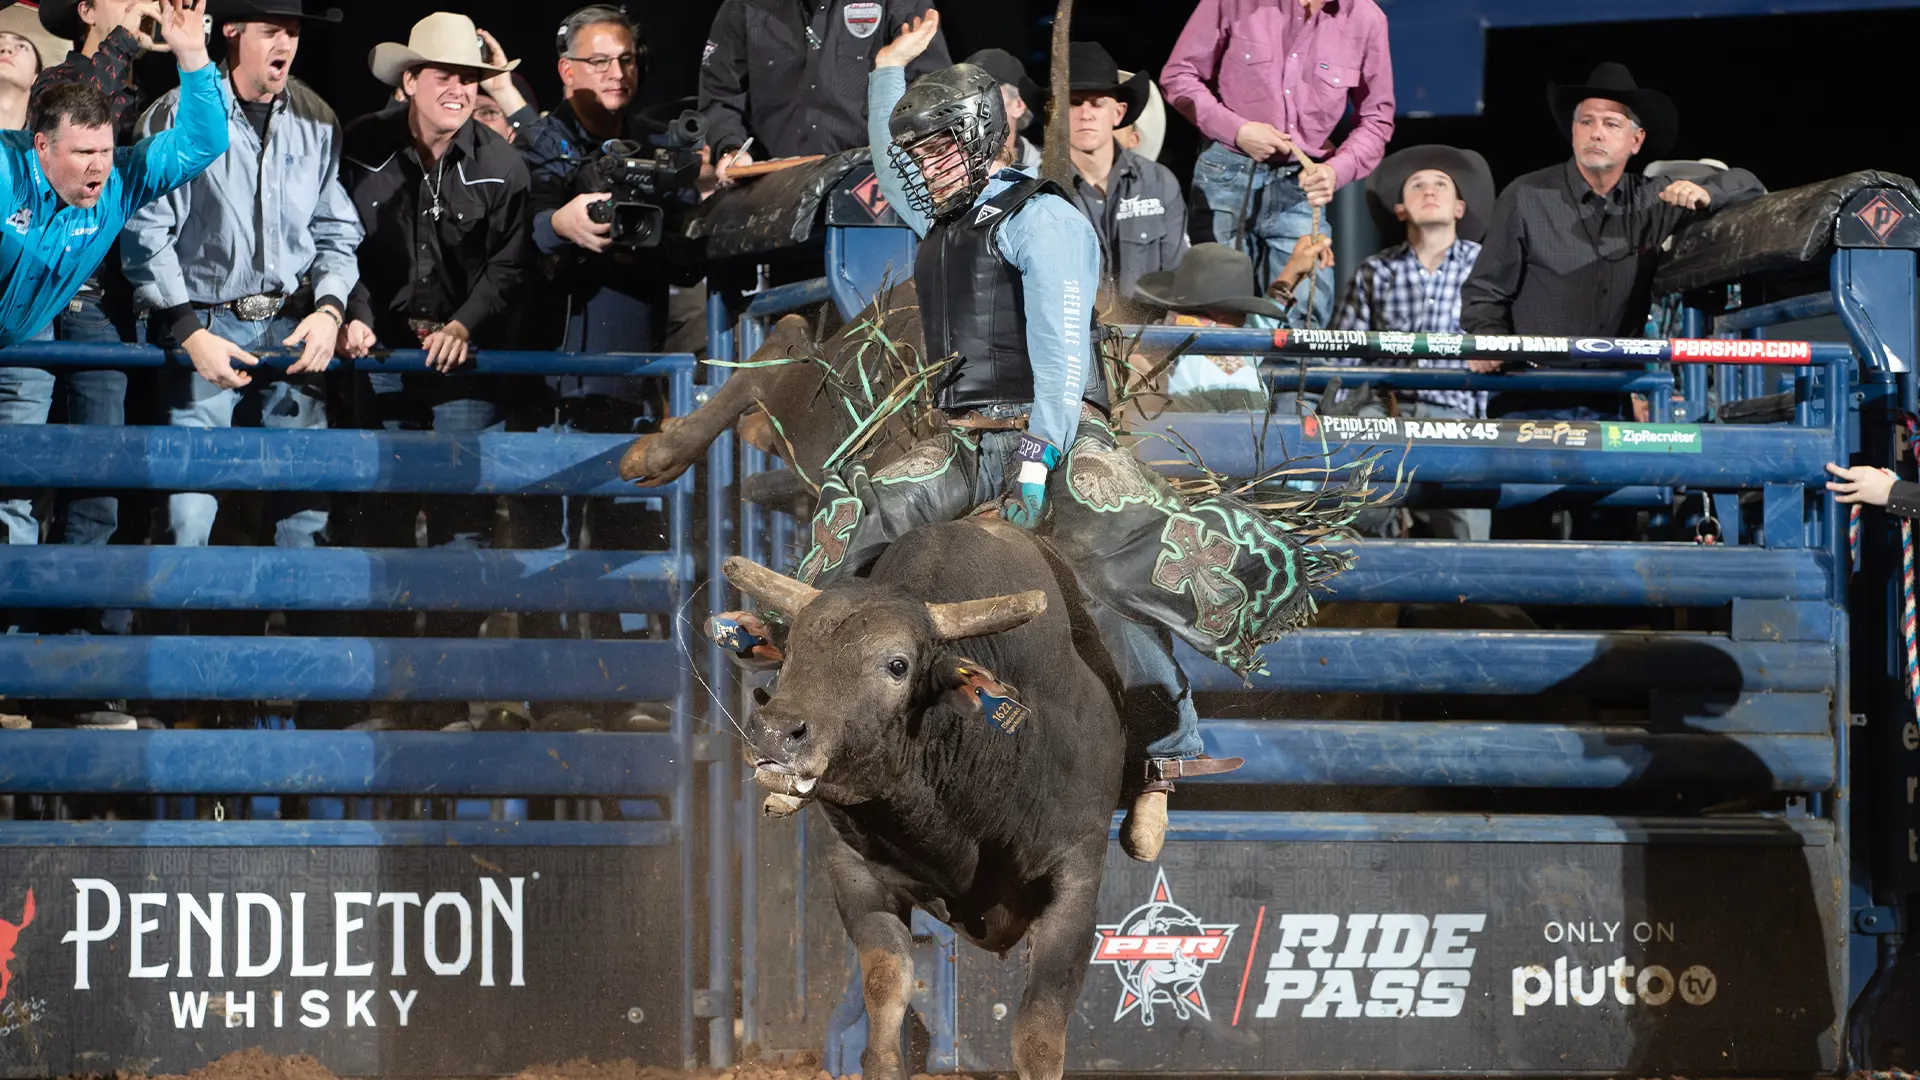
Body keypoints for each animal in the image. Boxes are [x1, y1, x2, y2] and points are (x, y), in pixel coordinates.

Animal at [725, 511, 1128, 1076]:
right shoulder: (854, 872)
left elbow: (1039, 1034)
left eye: (897, 665)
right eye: (791, 653)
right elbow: (887, 984)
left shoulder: (1076, 880)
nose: (775, 732)